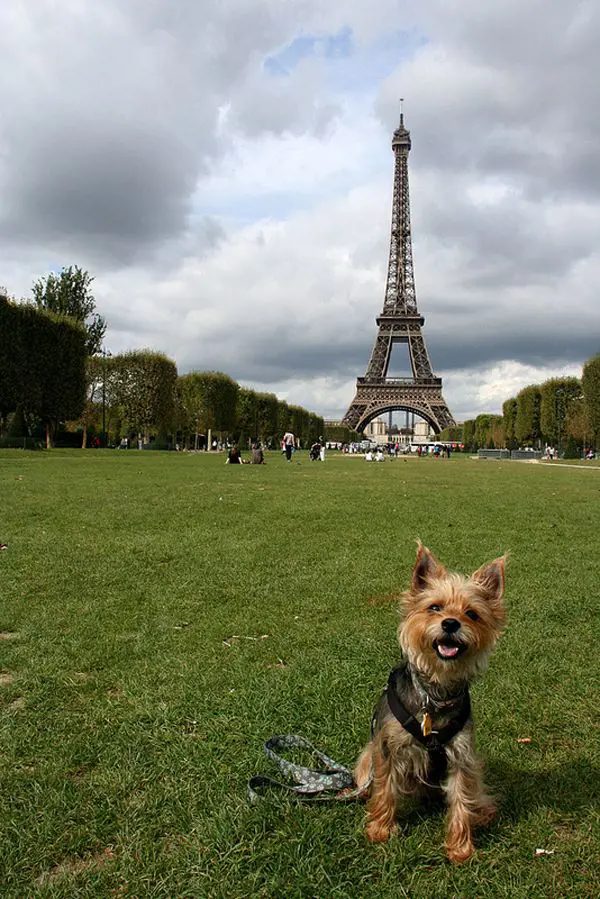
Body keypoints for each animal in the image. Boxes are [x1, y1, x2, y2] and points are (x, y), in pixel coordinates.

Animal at [356, 540, 506, 864]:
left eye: (472, 614)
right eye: (434, 607)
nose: (450, 623)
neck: (434, 695)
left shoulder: (462, 754)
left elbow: (461, 796)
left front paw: (460, 848)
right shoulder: (387, 747)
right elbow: (385, 788)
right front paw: (380, 830)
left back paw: (482, 811)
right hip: (367, 756)